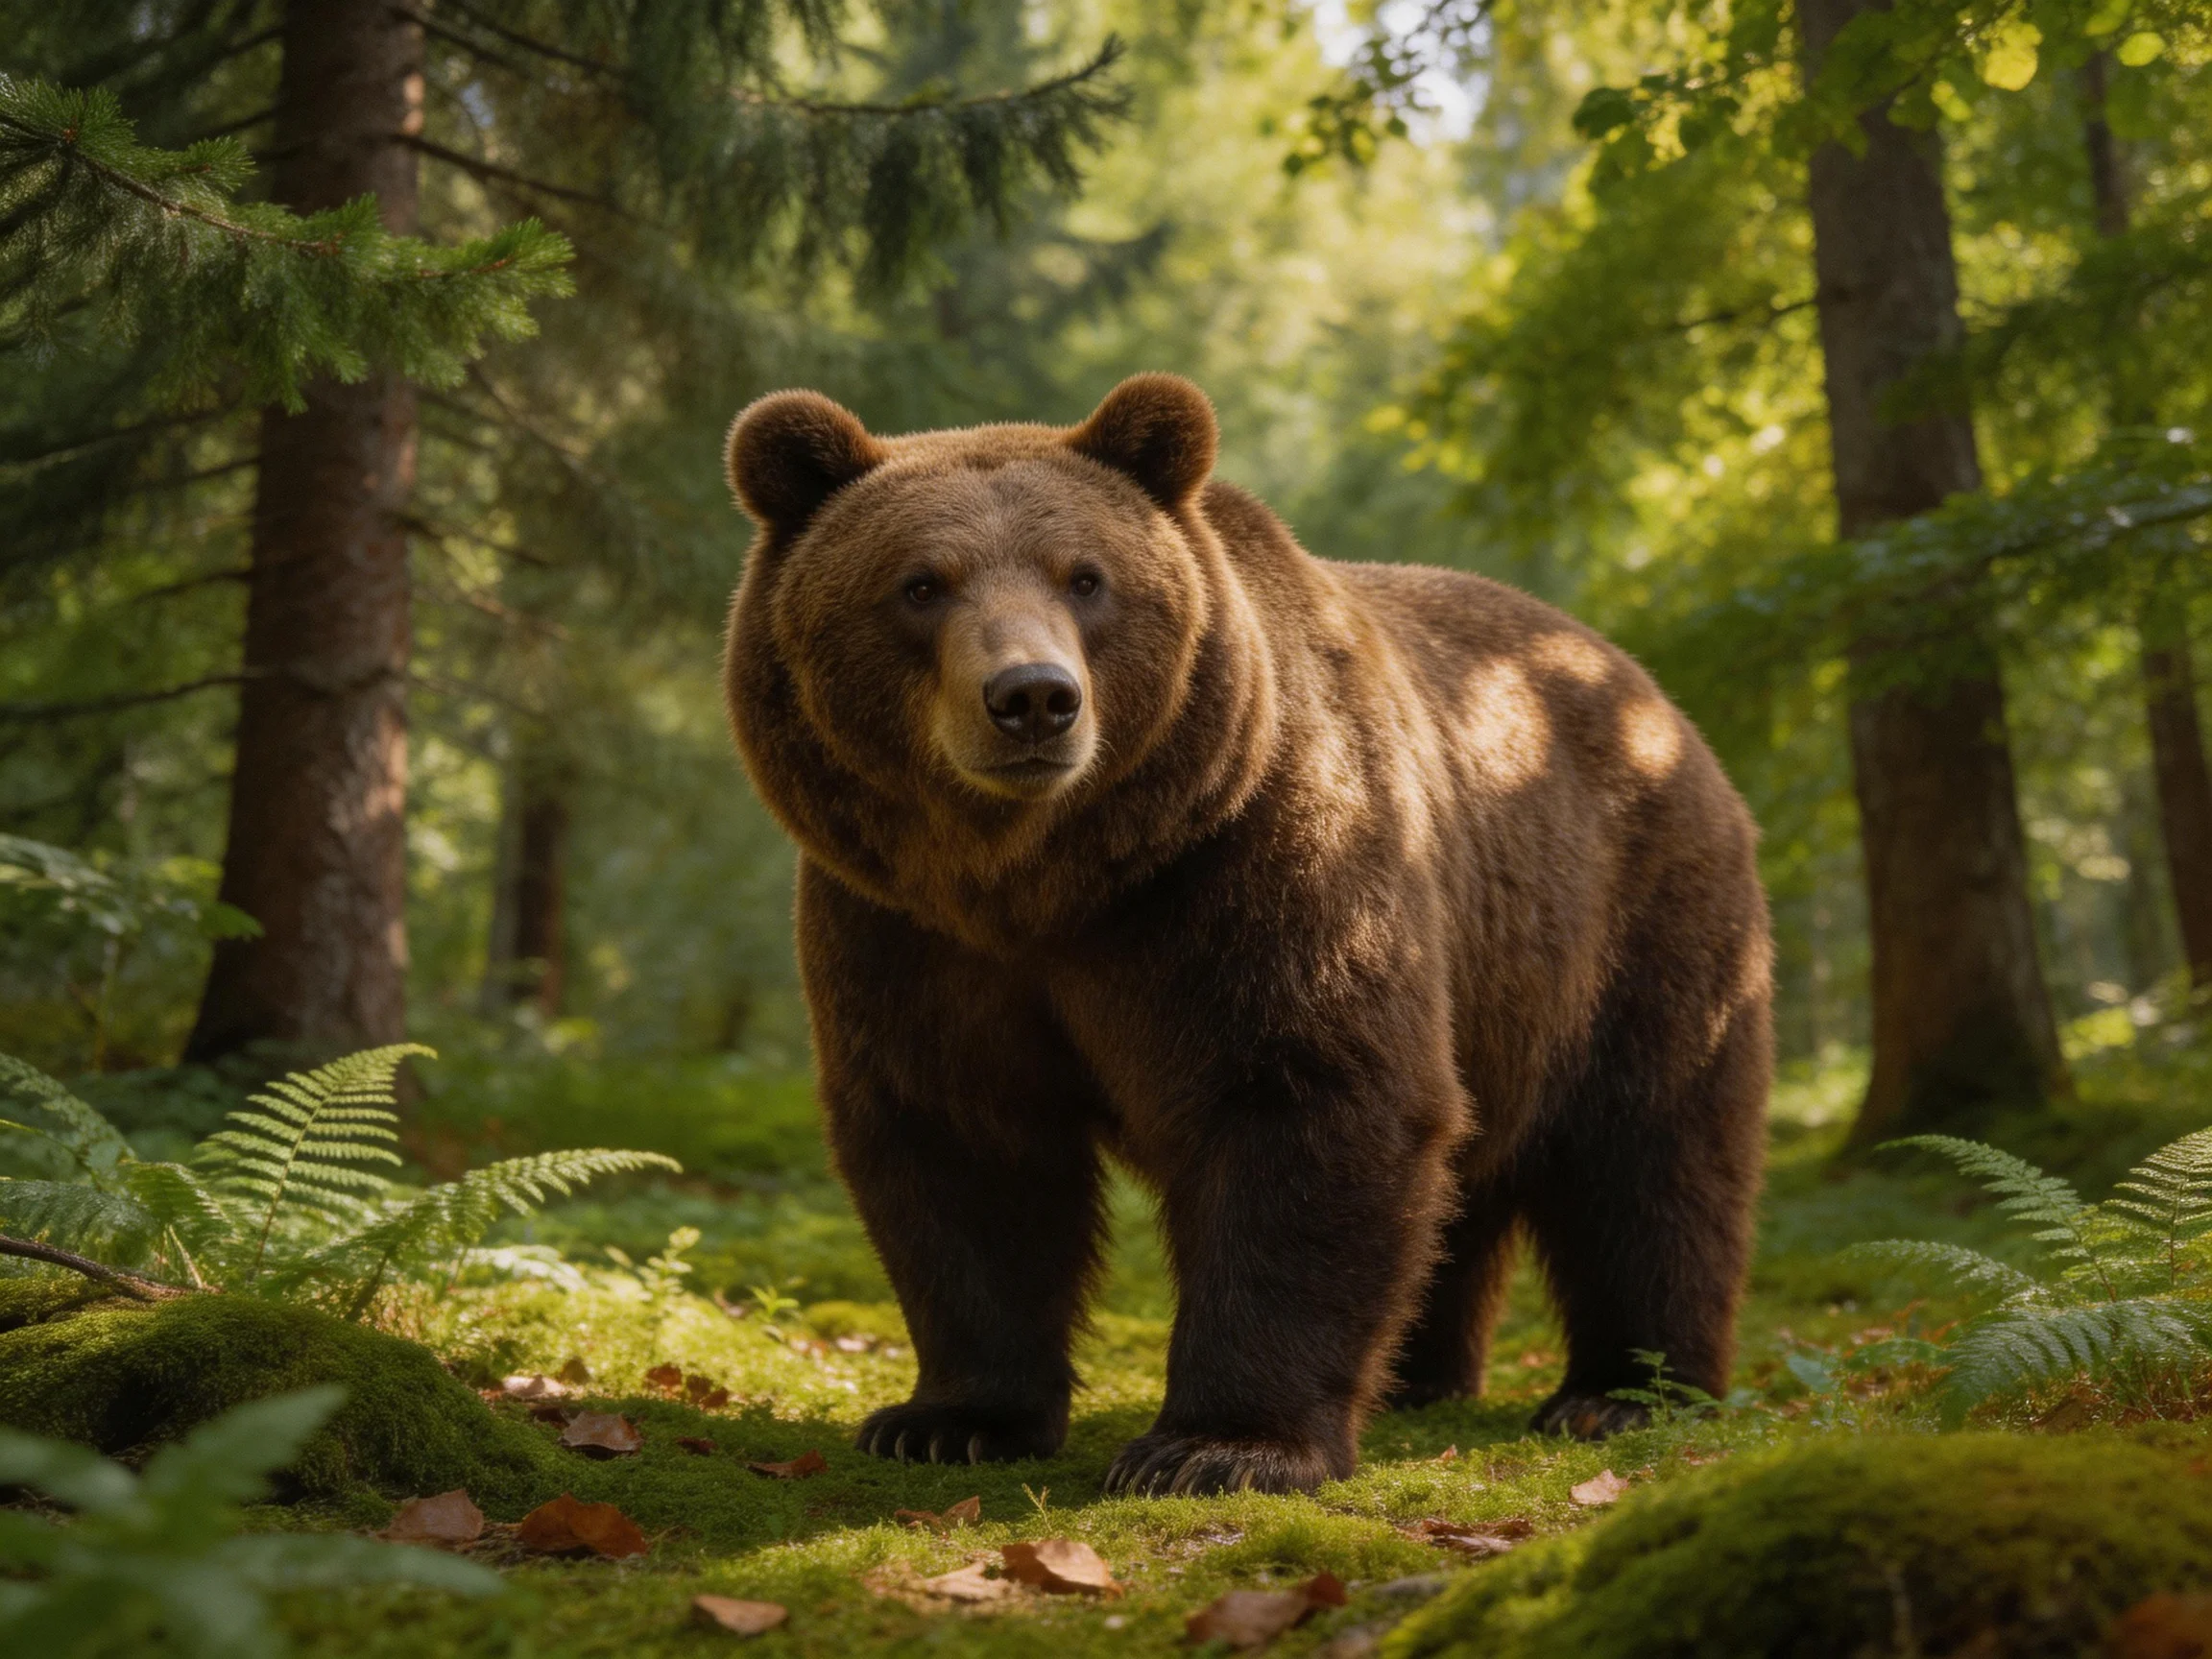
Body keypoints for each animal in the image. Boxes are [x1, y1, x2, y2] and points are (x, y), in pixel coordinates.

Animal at [720, 373, 1770, 1495]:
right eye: (920, 584)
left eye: (1086, 578)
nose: (1034, 697)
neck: (1041, 880)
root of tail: (1649, 690)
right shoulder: (902, 929)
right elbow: (962, 1141)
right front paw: (949, 1419)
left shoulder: (1248, 868)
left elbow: (1309, 1097)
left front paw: (1219, 1446)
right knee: (1471, 1183)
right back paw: (1420, 1377)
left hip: (1633, 918)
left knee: (1651, 1150)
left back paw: (1623, 1393)